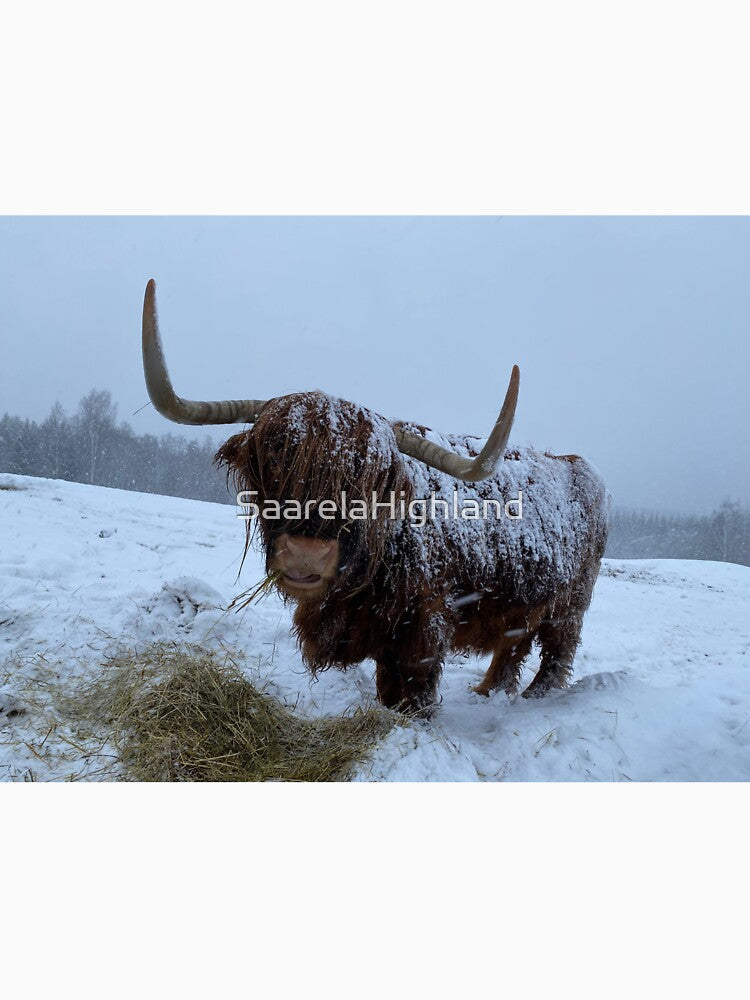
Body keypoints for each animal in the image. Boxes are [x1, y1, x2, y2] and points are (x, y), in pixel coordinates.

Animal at [141, 280, 609, 714]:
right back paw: (488, 692)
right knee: (514, 644)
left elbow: (415, 684)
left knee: (556, 649)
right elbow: (388, 683)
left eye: (368, 479)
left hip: (571, 602)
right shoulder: (383, 631)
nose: (306, 556)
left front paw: (415, 720)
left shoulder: (427, 617)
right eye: (276, 455)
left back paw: (535, 696)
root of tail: (581, 467)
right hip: (525, 603)